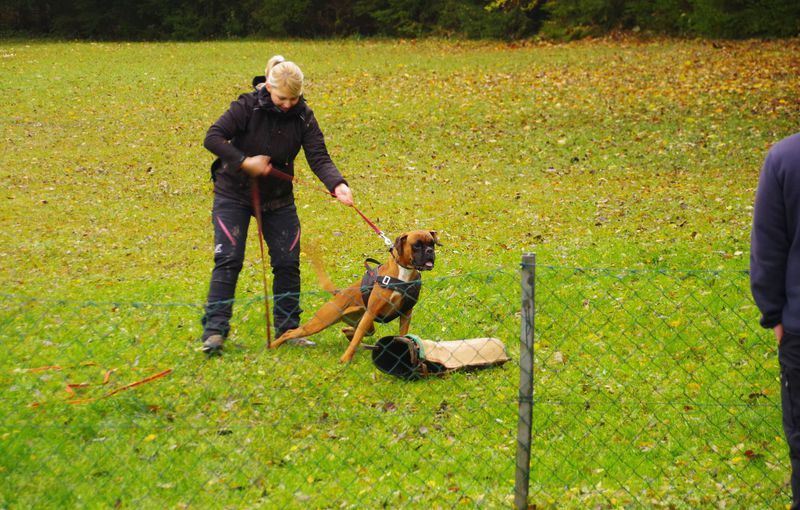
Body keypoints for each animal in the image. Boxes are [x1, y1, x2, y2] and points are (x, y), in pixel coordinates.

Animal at [270, 230, 439, 363]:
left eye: (432, 244)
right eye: (417, 245)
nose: (430, 251)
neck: (403, 272)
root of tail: (339, 292)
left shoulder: (405, 313)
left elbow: (403, 335)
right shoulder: (372, 312)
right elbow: (357, 339)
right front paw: (345, 359)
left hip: (365, 324)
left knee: (350, 330)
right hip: (321, 322)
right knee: (290, 332)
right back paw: (272, 346)